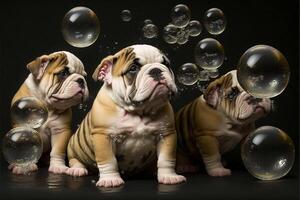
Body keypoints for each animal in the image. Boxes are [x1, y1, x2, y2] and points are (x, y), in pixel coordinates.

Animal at [67, 44, 186, 188]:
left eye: (165, 64)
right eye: (133, 69)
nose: (156, 70)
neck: (139, 110)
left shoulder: (166, 134)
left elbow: (166, 159)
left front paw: (169, 176)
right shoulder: (104, 136)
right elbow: (108, 161)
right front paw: (110, 179)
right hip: (73, 147)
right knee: (74, 159)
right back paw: (77, 169)